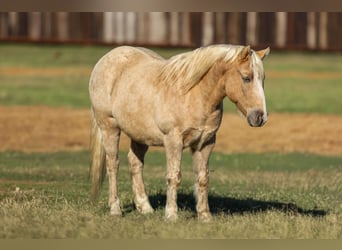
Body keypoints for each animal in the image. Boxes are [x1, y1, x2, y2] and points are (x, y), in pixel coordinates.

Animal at [89, 44, 270, 221]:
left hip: (140, 135)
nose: (260, 117)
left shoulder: (205, 143)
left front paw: (204, 215)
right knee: (113, 165)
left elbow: (203, 178)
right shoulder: (173, 141)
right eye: (246, 78)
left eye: (262, 79)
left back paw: (145, 208)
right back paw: (115, 209)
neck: (193, 94)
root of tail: (107, 58)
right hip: (109, 128)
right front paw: (171, 215)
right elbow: (174, 177)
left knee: (135, 163)